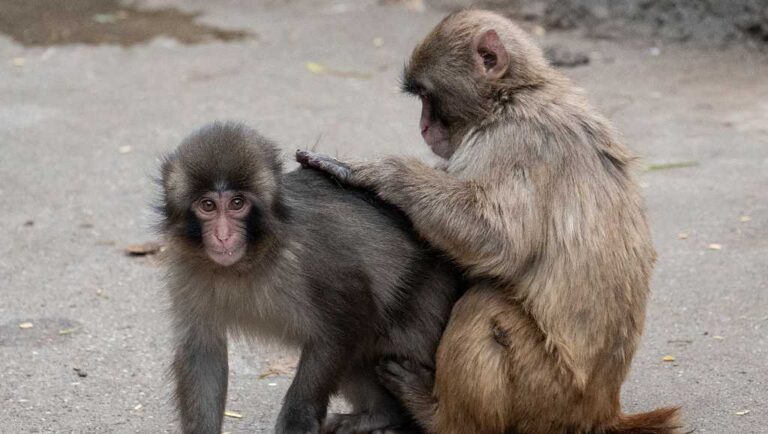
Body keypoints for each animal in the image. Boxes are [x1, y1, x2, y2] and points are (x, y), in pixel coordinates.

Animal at [159, 122, 461, 434]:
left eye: (237, 203)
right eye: (207, 205)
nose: (222, 235)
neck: (250, 259)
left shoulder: (312, 259)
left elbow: (347, 321)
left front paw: (297, 418)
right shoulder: (186, 268)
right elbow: (203, 350)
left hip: (427, 294)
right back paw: (380, 415)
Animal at [296, 9, 682, 434]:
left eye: (427, 97)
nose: (423, 127)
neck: (512, 96)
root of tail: (602, 410)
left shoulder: (513, 141)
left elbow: (498, 241)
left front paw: (381, 172)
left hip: (546, 391)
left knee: (484, 303)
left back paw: (436, 415)